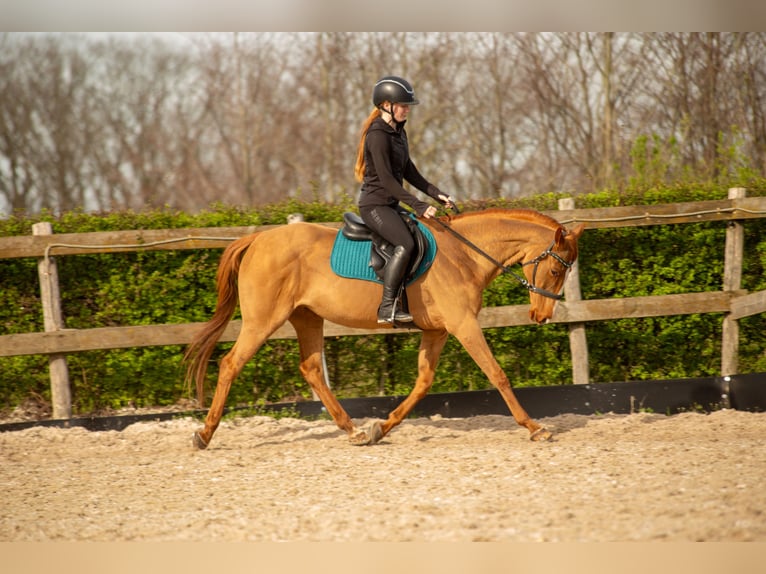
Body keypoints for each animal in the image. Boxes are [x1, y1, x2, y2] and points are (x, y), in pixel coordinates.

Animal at [186, 209, 588, 452]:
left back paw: (355, 431)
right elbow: (497, 374)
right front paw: (534, 427)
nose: (541, 316)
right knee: (231, 364)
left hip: (307, 317)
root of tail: (256, 239)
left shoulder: (438, 331)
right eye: (556, 269)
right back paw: (204, 434)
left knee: (312, 369)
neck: (464, 255)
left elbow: (423, 382)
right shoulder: (463, 325)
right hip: (263, 321)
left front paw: (383, 426)